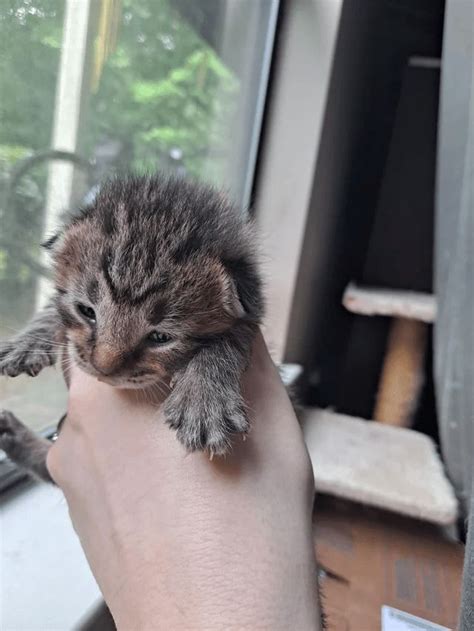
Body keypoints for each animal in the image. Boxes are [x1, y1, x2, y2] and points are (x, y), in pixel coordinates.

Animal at [0, 175, 262, 482]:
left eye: (160, 337)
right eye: (87, 311)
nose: (103, 368)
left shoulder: (252, 315)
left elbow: (228, 340)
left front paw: (205, 401)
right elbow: (54, 305)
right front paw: (27, 342)